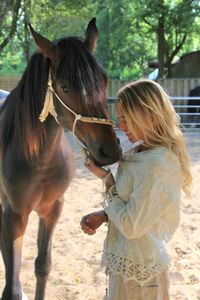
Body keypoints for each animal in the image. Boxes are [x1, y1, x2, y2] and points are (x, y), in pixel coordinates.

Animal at [0, 18, 120, 300]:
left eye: (104, 80)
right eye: (64, 87)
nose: (109, 151)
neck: (38, 161)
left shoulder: (52, 210)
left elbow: (43, 266)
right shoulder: (14, 214)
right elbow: (11, 282)